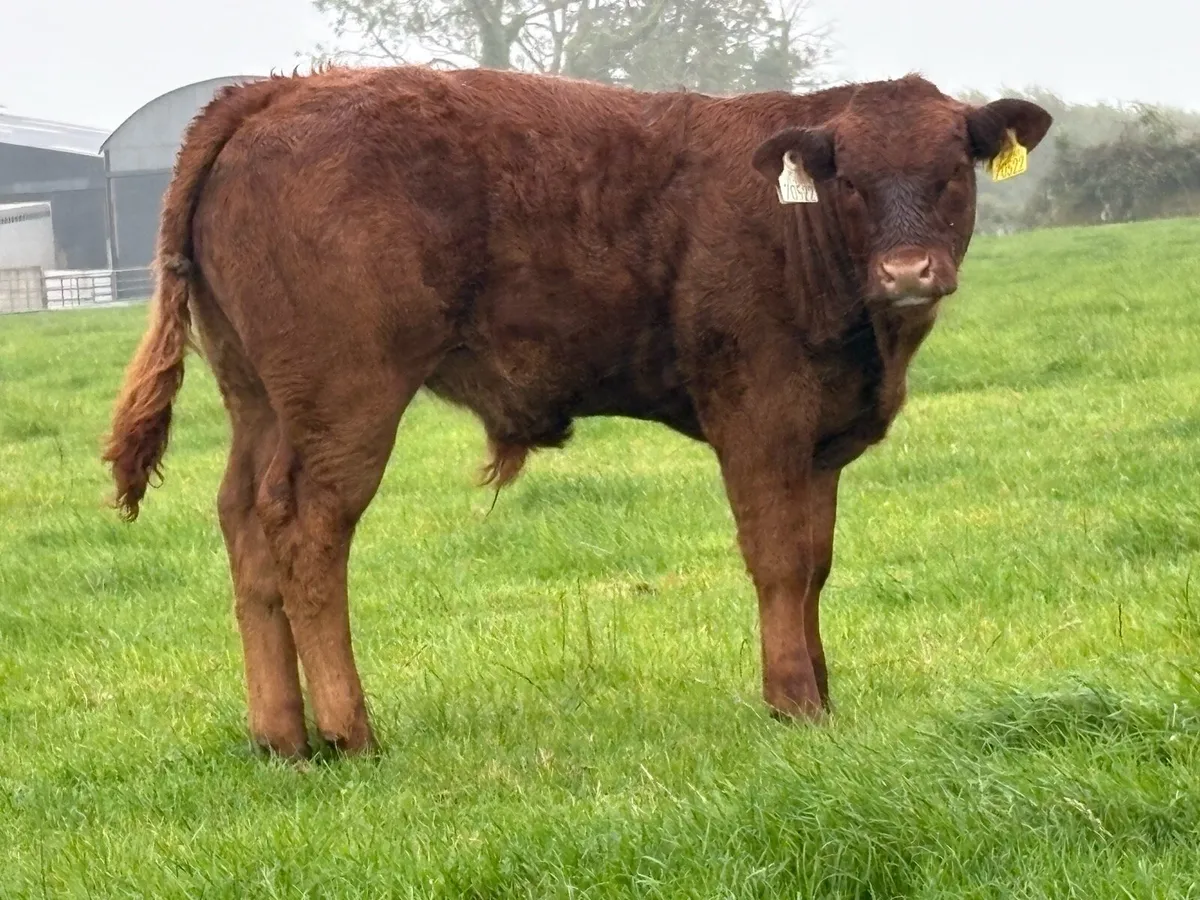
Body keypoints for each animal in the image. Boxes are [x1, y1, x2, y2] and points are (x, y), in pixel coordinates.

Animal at [103, 64, 1051, 759]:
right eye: (849, 181)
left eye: (950, 172)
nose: (908, 272)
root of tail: (272, 92)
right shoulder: (760, 415)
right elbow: (779, 562)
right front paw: (791, 705)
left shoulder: (818, 440)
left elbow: (815, 563)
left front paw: (820, 694)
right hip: (346, 402)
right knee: (308, 532)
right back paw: (349, 732)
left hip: (258, 400)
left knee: (244, 523)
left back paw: (281, 739)